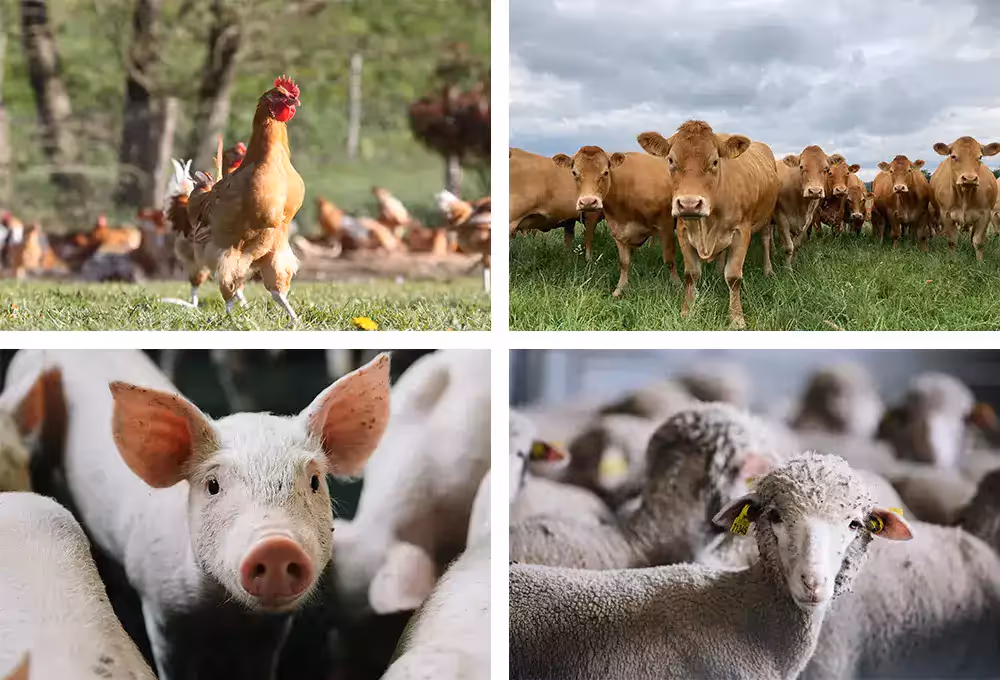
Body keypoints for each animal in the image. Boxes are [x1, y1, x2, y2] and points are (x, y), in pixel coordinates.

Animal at [551, 147, 676, 297]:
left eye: (605, 172)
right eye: (574, 172)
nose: (588, 202)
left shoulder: (666, 226)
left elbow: (669, 259)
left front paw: (677, 284)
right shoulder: (618, 230)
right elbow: (624, 262)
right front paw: (619, 289)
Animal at [637, 120, 778, 329]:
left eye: (715, 162)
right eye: (670, 160)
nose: (689, 203)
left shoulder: (741, 231)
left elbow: (733, 277)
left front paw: (737, 318)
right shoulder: (683, 231)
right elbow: (691, 274)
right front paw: (687, 310)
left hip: (767, 218)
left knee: (766, 241)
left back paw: (768, 270)